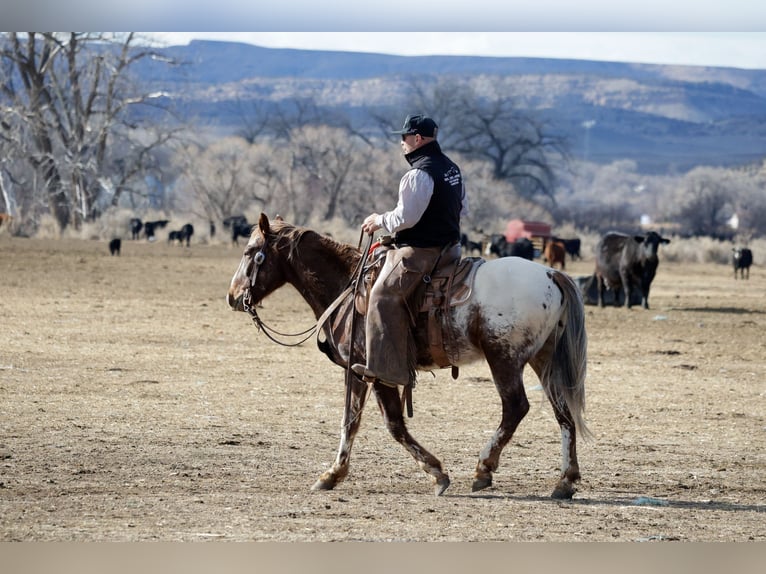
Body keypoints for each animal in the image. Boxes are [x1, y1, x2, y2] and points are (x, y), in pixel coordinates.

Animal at [227, 213, 589, 498]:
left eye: (250, 252)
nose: (232, 297)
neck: (347, 286)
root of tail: (550, 274)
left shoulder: (369, 371)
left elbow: (385, 424)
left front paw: (436, 473)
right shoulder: (363, 373)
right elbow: (361, 421)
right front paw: (334, 474)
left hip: (504, 358)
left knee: (515, 407)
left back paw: (484, 468)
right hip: (543, 359)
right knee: (563, 412)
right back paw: (565, 481)